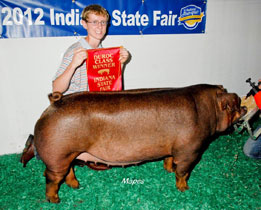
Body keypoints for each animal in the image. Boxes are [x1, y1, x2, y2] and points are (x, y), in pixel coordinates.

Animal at [25, 84, 245, 203]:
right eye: (234, 105)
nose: (243, 106)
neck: (209, 109)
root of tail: (53, 105)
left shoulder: (172, 147)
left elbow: (169, 159)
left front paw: (167, 169)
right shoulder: (190, 150)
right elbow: (183, 171)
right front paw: (184, 189)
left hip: (69, 155)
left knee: (68, 172)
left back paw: (76, 186)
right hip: (58, 156)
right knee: (51, 178)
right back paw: (55, 200)